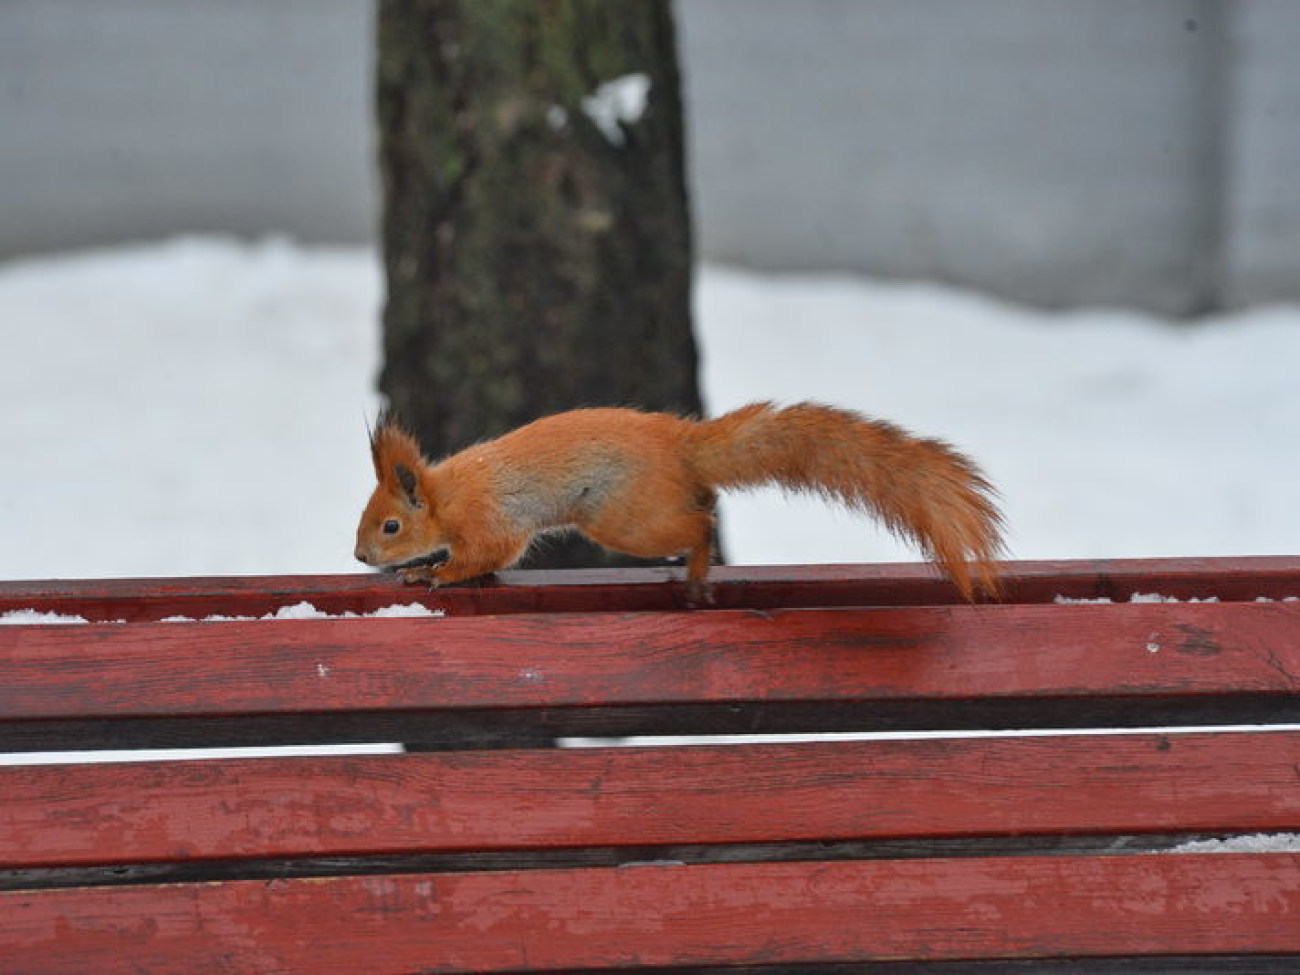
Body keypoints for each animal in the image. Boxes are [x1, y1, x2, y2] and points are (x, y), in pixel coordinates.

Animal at [353, 403, 1003, 603]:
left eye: (390, 526)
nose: (360, 557)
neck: (445, 495)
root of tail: (680, 445)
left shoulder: (490, 518)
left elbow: (487, 554)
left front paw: (435, 575)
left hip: (627, 518)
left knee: (700, 522)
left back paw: (695, 569)